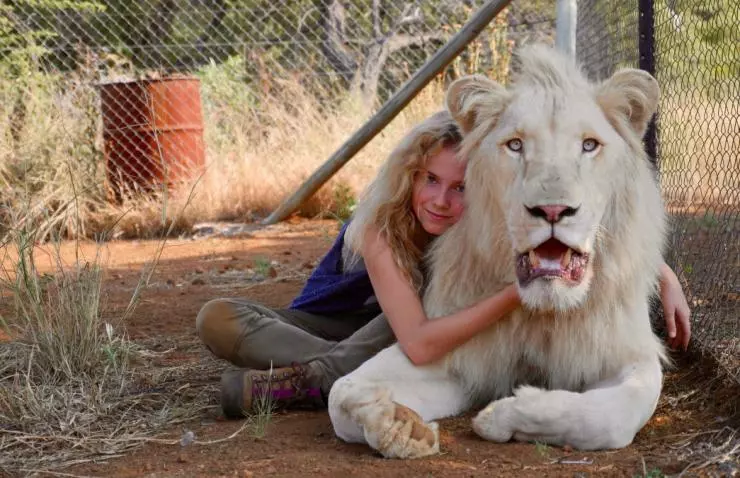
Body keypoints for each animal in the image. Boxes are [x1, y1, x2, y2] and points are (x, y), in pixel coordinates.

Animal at [327, 44, 668, 459]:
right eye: (515, 145)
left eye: (589, 145)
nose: (552, 210)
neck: (542, 313)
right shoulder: (455, 351)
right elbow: (341, 392)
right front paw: (398, 425)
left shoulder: (627, 353)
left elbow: (611, 417)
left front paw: (505, 414)